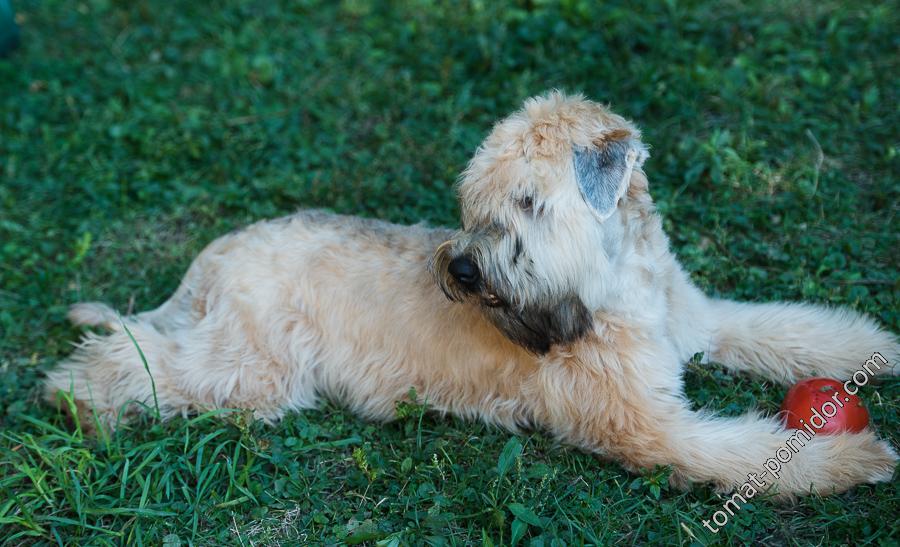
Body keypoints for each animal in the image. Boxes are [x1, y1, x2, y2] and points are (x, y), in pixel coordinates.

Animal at [49, 92, 900, 498]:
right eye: (474, 198)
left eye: (529, 201)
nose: (462, 270)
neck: (623, 290)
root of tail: (217, 253)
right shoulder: (652, 428)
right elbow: (755, 453)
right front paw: (856, 457)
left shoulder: (704, 322)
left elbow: (789, 328)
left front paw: (876, 347)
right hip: (251, 370)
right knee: (133, 354)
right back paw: (79, 400)